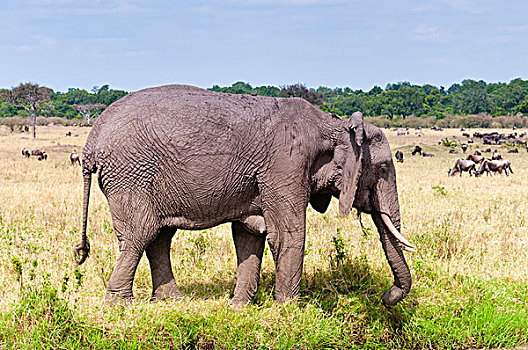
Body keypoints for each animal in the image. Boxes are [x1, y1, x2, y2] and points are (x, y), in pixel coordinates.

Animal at [74, 85, 414, 308]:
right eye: (383, 167)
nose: (386, 297)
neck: (334, 124)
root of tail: (92, 140)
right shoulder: (285, 163)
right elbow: (287, 234)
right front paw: (290, 312)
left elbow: (250, 234)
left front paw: (238, 307)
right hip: (131, 173)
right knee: (140, 232)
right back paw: (120, 306)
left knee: (159, 234)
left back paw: (172, 301)